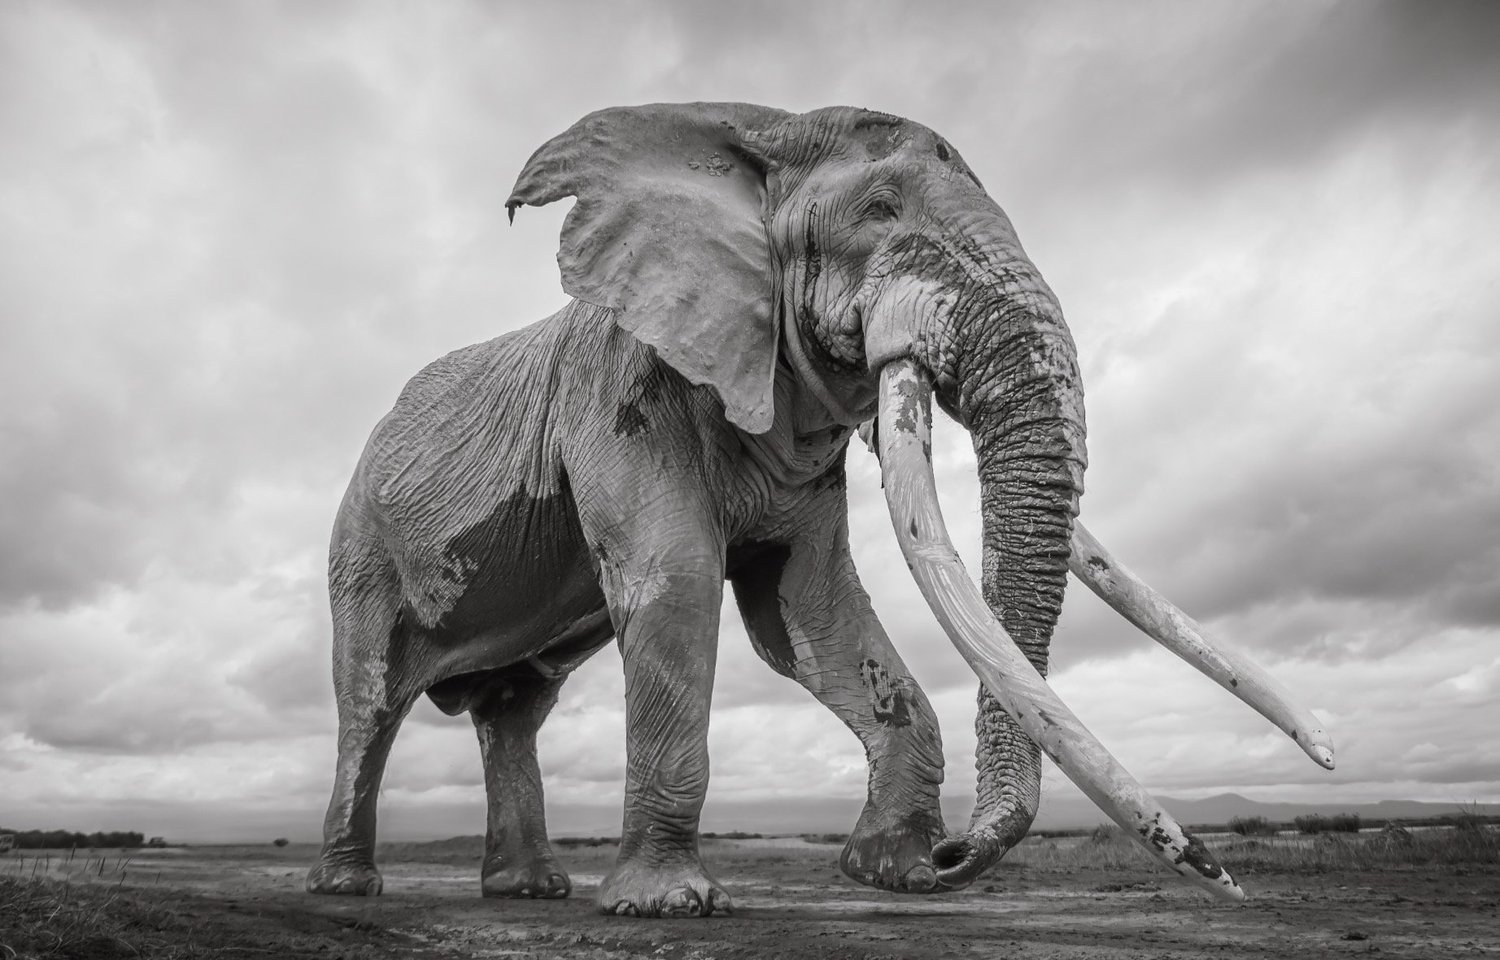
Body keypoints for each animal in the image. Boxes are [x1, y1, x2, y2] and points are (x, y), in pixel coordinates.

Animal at [307, 102, 1334, 917]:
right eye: (879, 213)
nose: (955, 856)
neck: (748, 143)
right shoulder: (624, 386)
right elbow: (678, 582)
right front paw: (670, 907)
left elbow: (808, 612)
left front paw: (891, 873)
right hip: (359, 544)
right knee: (371, 700)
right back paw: (349, 888)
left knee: (515, 709)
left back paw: (528, 892)